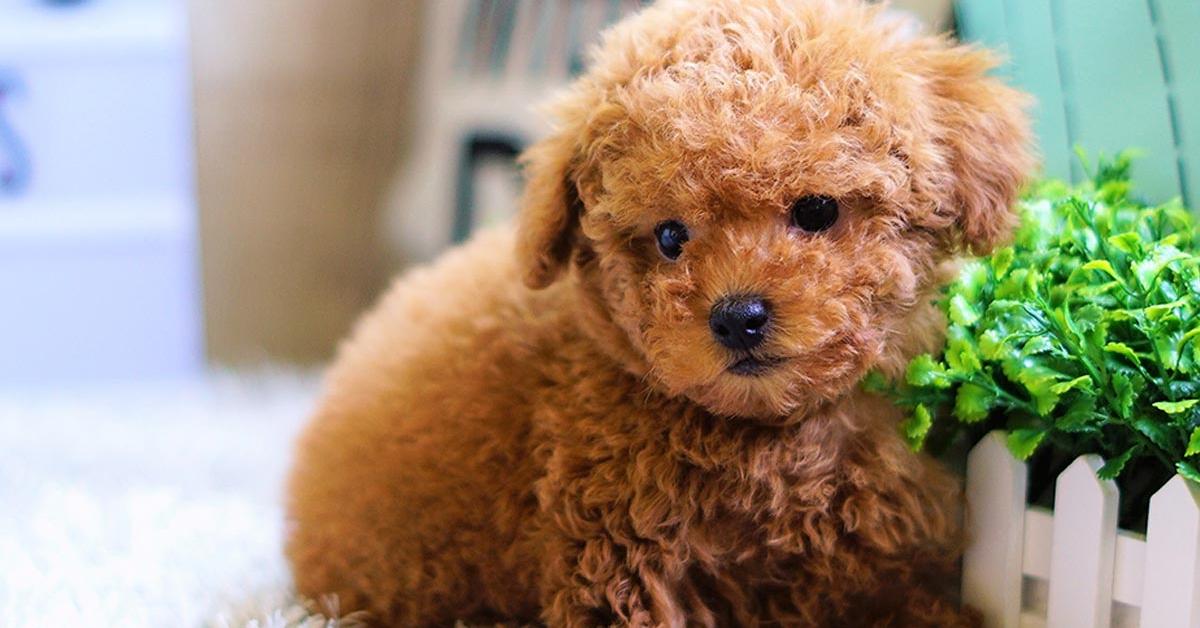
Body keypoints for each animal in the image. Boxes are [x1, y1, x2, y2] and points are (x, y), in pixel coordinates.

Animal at [288, 2, 1032, 624]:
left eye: (817, 210)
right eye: (671, 237)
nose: (738, 316)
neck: (768, 438)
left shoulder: (878, 555)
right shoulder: (618, 555)